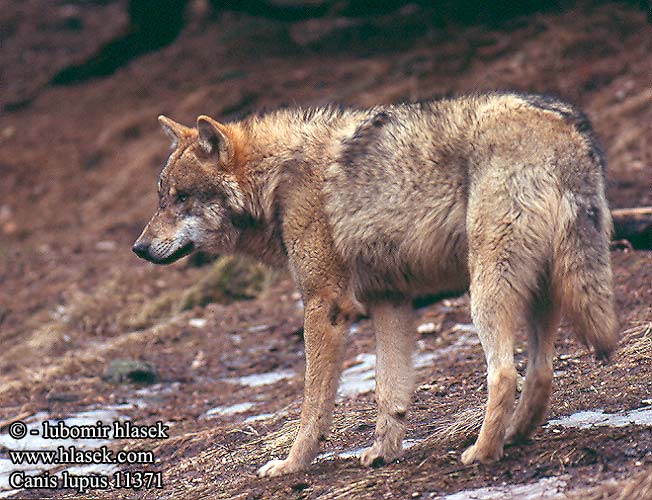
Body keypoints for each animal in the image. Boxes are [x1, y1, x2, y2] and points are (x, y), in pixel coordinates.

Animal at [131, 92, 616, 478]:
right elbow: (389, 389)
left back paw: (481, 451)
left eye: (181, 198)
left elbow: (313, 403)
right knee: (540, 373)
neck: (277, 181)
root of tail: (563, 126)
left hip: (485, 294)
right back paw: (515, 435)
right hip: (542, 289)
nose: (138, 248)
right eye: (161, 198)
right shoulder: (390, 301)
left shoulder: (324, 306)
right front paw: (384, 452)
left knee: (502, 374)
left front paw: (292, 464)